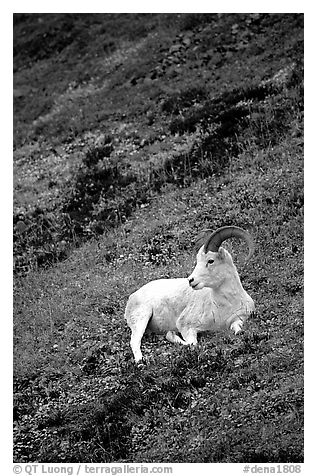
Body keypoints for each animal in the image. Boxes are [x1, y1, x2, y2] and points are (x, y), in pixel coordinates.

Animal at [124, 225, 254, 362]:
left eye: (211, 261)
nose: (191, 280)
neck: (223, 307)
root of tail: (133, 296)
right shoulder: (186, 326)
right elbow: (192, 344)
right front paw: (172, 335)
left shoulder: (239, 318)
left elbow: (237, 330)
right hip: (141, 319)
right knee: (135, 341)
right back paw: (140, 361)